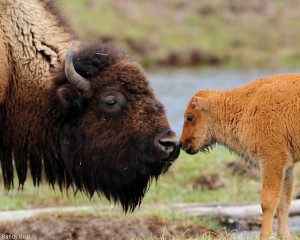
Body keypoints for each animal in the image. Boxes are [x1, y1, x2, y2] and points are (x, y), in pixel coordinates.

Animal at [180, 74, 300, 239]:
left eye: (190, 117)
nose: (182, 143)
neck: (245, 106)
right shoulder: (287, 167)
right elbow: (283, 202)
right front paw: (284, 235)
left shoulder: (272, 160)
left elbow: (268, 202)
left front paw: (264, 236)